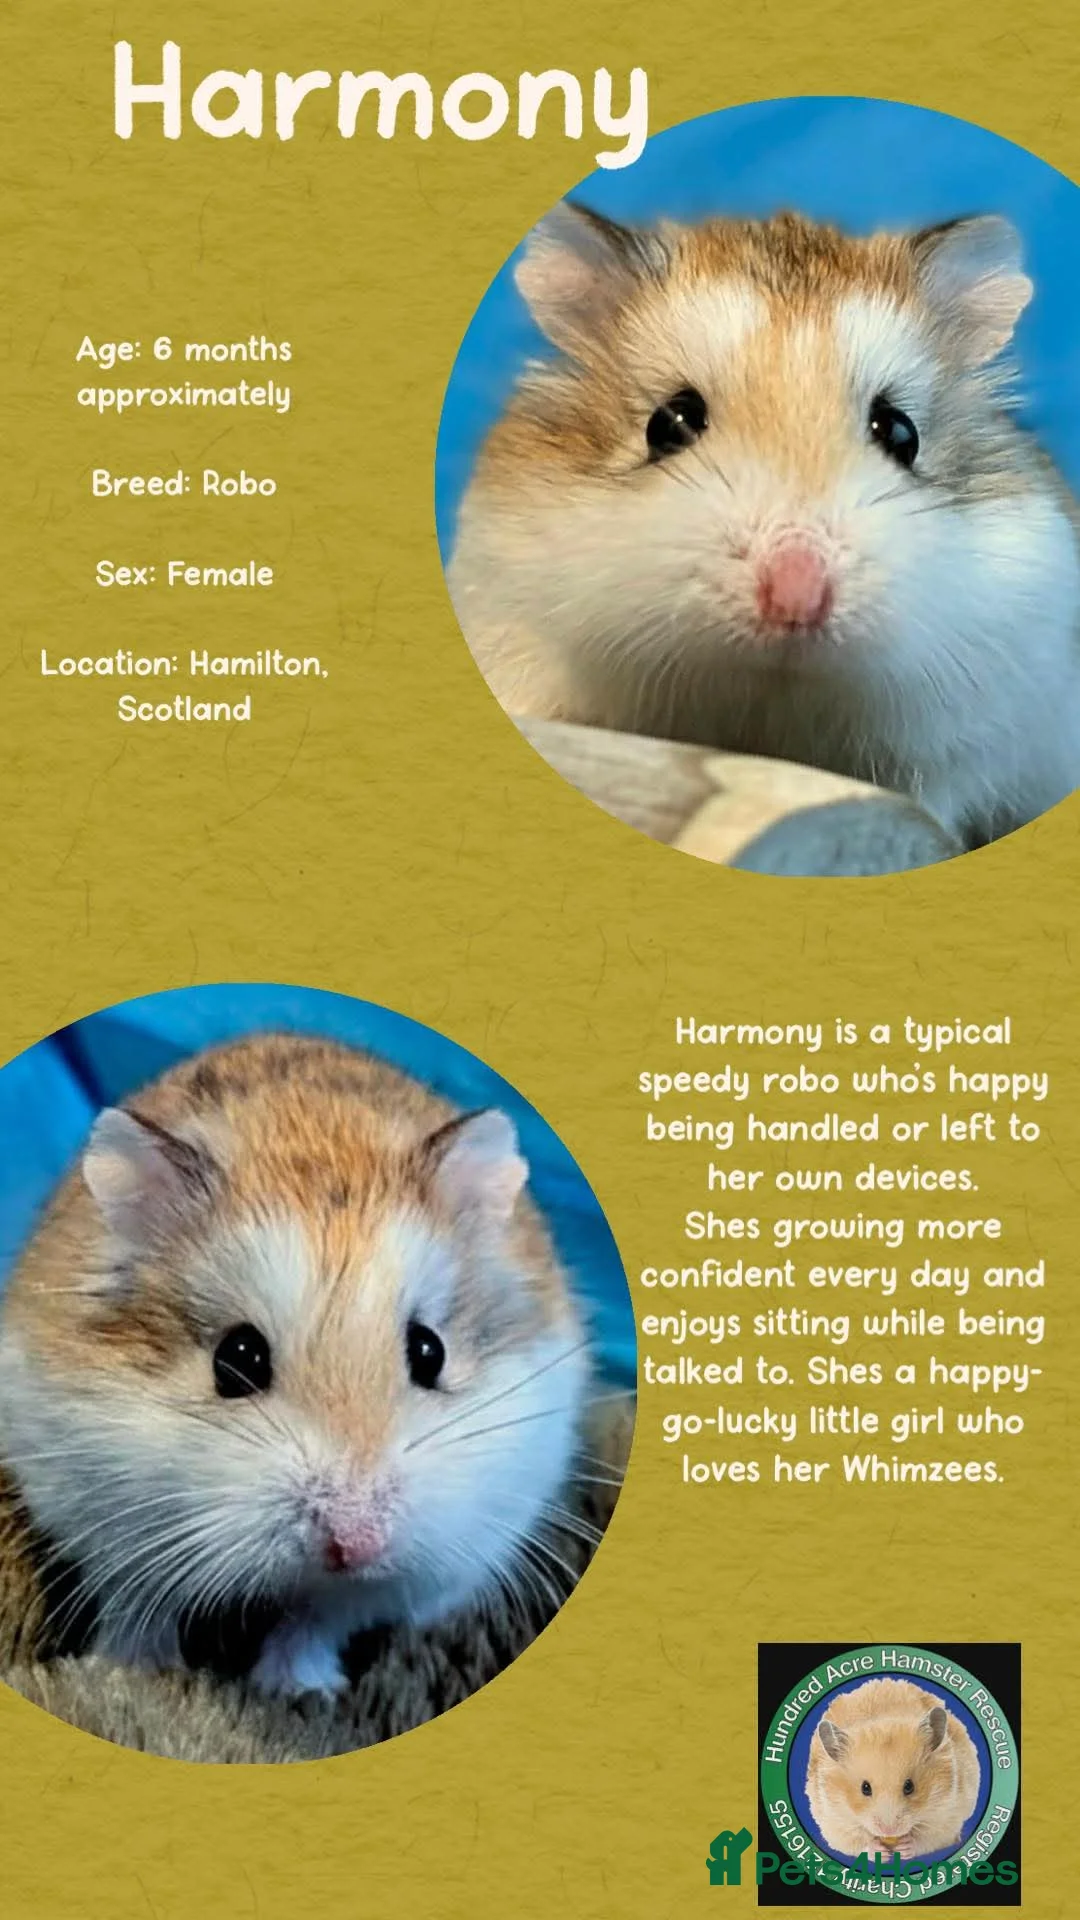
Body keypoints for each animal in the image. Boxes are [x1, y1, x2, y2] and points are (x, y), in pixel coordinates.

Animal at [0, 1034, 591, 1699]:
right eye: (237, 1359)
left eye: (430, 1351)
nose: (355, 1545)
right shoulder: (103, 1525)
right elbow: (138, 1607)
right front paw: (138, 1673)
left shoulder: (389, 1582)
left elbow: (314, 1622)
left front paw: (295, 1690)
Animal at [806, 1677, 981, 1860]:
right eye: (865, 1788)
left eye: (909, 1786)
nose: (889, 1830)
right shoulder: (833, 1820)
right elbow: (855, 1841)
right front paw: (880, 1853)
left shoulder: (947, 1814)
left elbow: (928, 1838)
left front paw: (905, 1848)